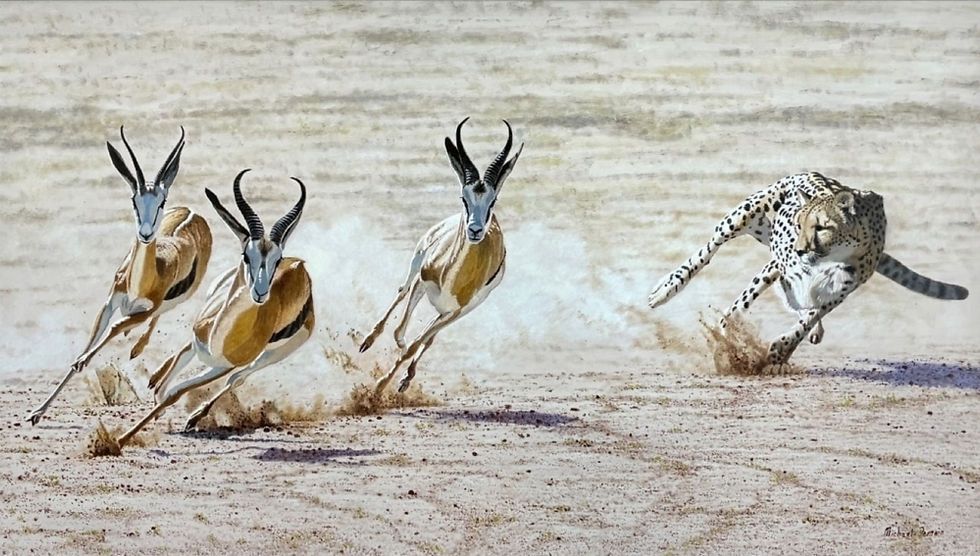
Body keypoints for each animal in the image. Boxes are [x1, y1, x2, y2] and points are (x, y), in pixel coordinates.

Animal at [649, 171, 969, 372]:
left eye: (822, 227)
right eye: (799, 223)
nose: (800, 248)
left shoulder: (840, 290)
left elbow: (809, 315)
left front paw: (781, 351)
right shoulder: (784, 269)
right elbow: (757, 303)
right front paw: (732, 340)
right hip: (740, 219)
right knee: (707, 253)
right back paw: (667, 289)